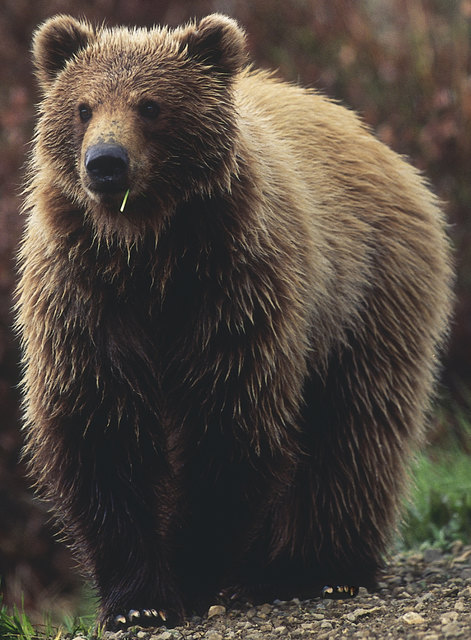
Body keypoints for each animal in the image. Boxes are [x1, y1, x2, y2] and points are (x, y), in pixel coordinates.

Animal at [17, 11, 454, 632]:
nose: (105, 163)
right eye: (82, 106)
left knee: (355, 430)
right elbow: (101, 428)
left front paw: (189, 576)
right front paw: (138, 600)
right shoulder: (88, 298)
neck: (149, 251)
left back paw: (319, 568)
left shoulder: (235, 291)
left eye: (150, 105)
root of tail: (375, 141)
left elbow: (228, 423)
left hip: (368, 295)